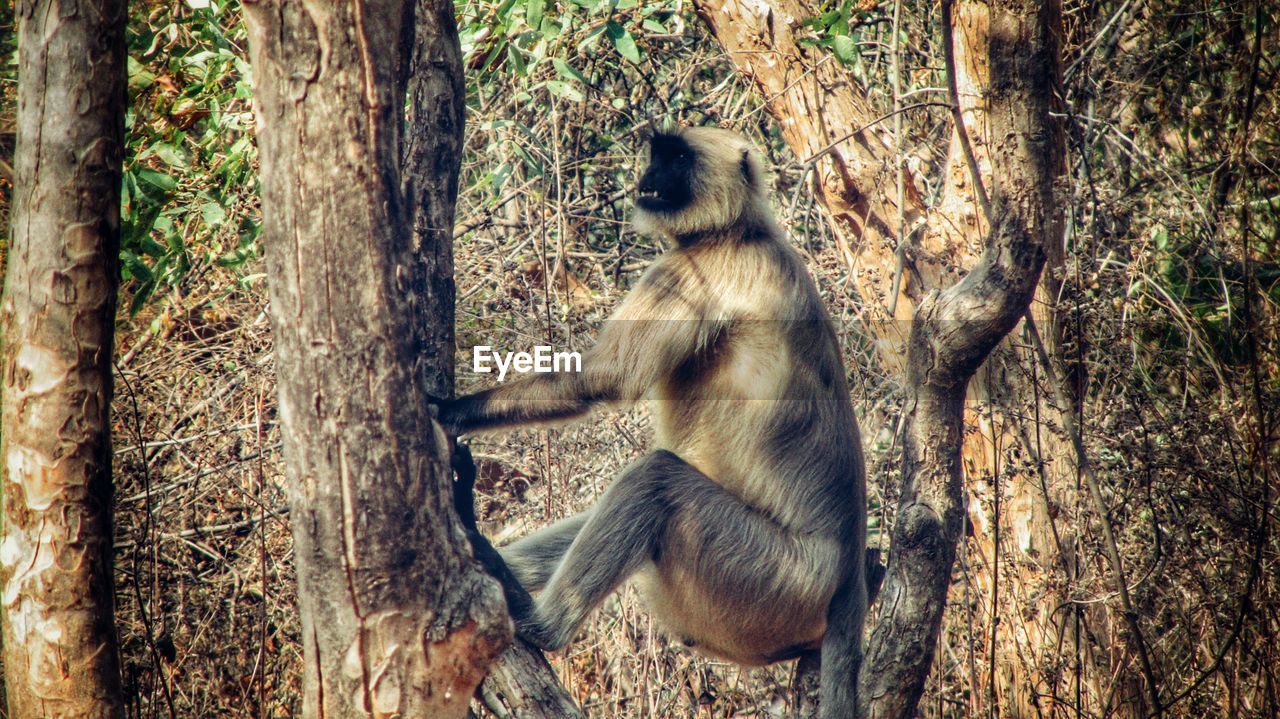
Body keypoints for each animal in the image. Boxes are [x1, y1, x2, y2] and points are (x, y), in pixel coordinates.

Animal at [437, 126, 870, 711]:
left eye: (678, 158)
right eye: (657, 154)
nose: (646, 179)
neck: (741, 231)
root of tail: (849, 581)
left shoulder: (695, 270)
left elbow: (602, 380)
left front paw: (448, 411)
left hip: (770, 578)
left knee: (656, 479)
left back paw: (538, 621)